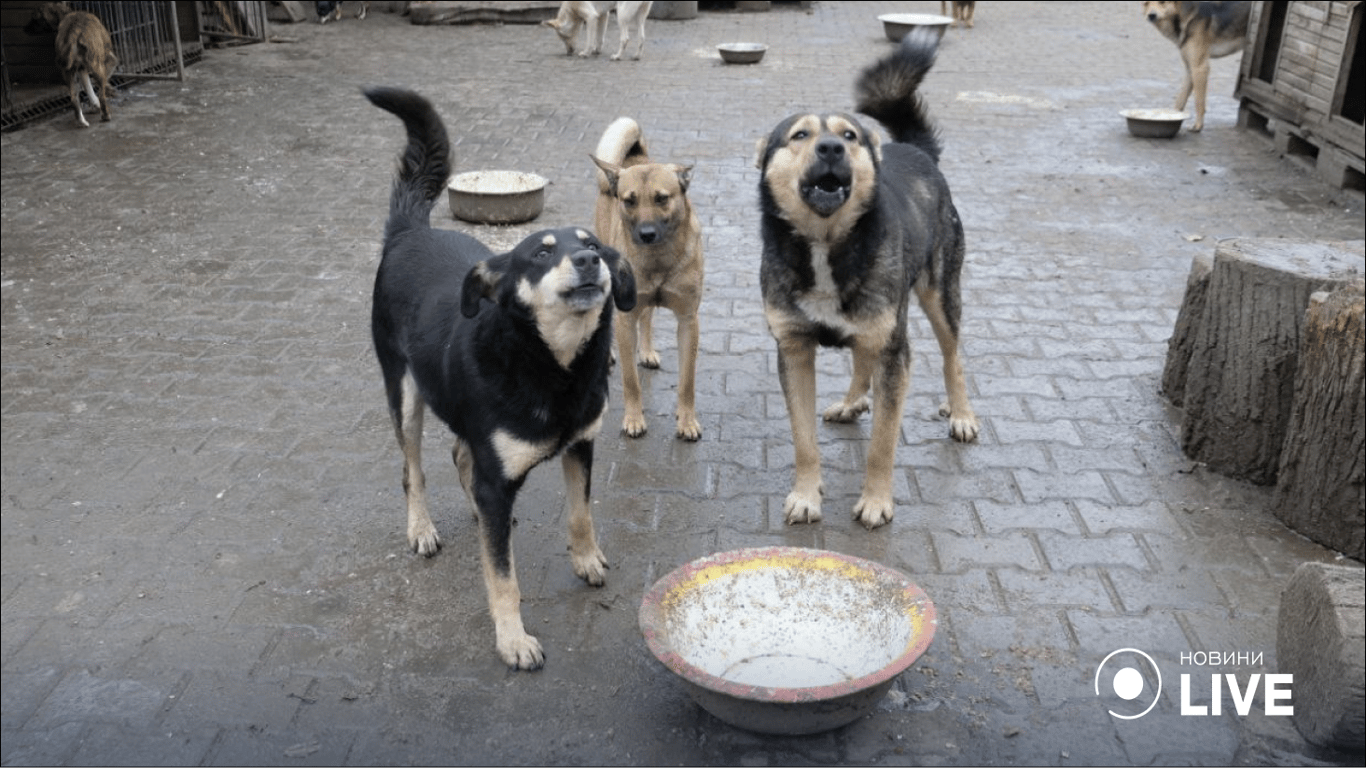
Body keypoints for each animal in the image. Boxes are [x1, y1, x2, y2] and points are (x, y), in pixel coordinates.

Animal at [366, 86, 636, 666]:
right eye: (541, 252)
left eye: (593, 244)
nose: (589, 260)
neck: (553, 366)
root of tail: (410, 232)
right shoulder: (497, 473)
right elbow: (503, 577)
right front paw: (513, 639)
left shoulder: (581, 446)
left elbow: (580, 515)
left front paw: (586, 560)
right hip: (404, 392)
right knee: (414, 470)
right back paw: (421, 528)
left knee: (460, 456)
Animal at [592, 120, 710, 442]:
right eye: (629, 201)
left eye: (662, 198)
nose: (646, 234)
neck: (658, 259)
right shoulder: (625, 319)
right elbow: (631, 381)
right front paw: (634, 419)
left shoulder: (688, 321)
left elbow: (687, 382)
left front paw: (687, 420)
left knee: (646, 318)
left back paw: (645, 351)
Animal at [754, 31, 978, 532]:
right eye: (800, 135)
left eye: (849, 135)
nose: (831, 149)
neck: (826, 244)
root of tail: (917, 150)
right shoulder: (793, 349)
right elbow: (803, 440)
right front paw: (806, 496)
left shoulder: (896, 352)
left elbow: (882, 443)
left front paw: (876, 501)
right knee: (861, 358)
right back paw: (853, 401)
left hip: (939, 296)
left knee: (953, 357)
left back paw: (961, 414)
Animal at [1141, 0, 1251, 131]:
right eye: (1146, 3)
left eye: (1162, 2)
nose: (1151, 15)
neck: (1184, 15)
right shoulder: (1190, 69)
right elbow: (1180, 100)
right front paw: (1172, 117)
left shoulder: (1200, 68)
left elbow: (1199, 101)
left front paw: (1198, 126)